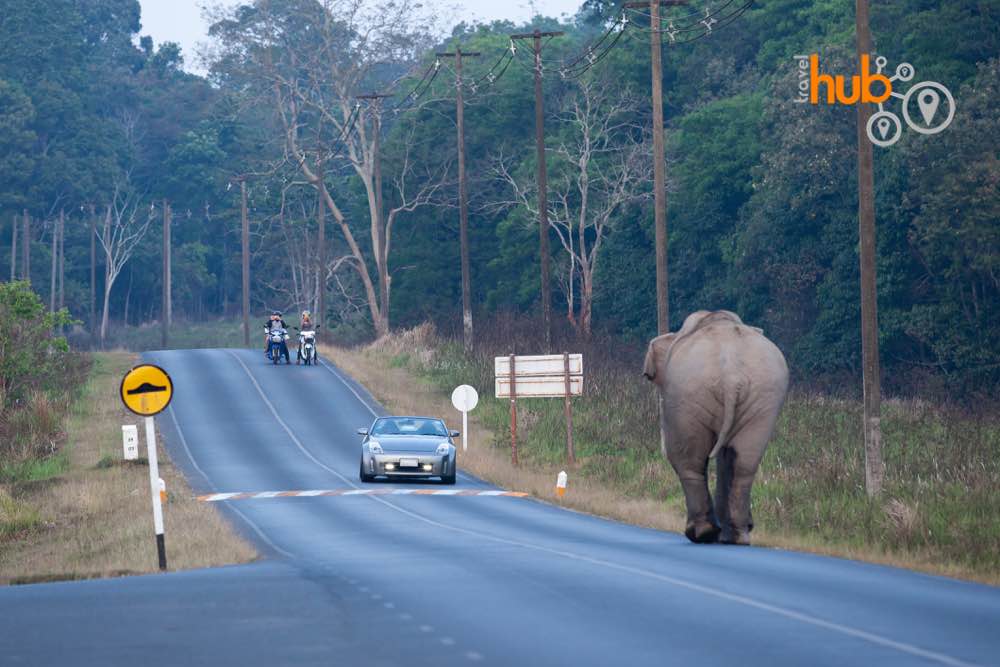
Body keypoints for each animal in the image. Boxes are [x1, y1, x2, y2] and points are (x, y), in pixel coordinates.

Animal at [640, 310, 788, 544]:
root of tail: (732, 376)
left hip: (688, 395)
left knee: (688, 460)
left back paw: (702, 533)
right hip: (763, 399)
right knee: (744, 462)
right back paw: (737, 537)